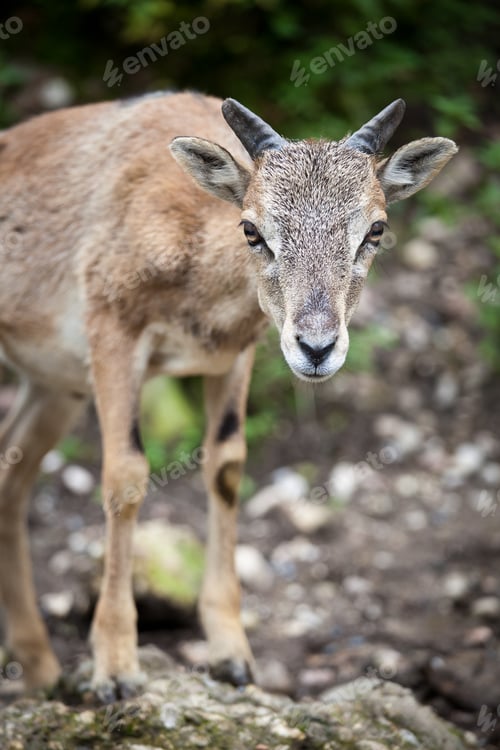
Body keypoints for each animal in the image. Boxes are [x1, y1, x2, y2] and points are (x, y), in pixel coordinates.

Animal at [0, 91, 457, 699]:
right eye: (252, 229)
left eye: (375, 229)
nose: (317, 347)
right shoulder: (111, 328)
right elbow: (125, 476)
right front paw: (116, 669)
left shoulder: (236, 354)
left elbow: (227, 465)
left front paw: (233, 656)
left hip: (54, 385)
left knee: (10, 474)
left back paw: (42, 668)